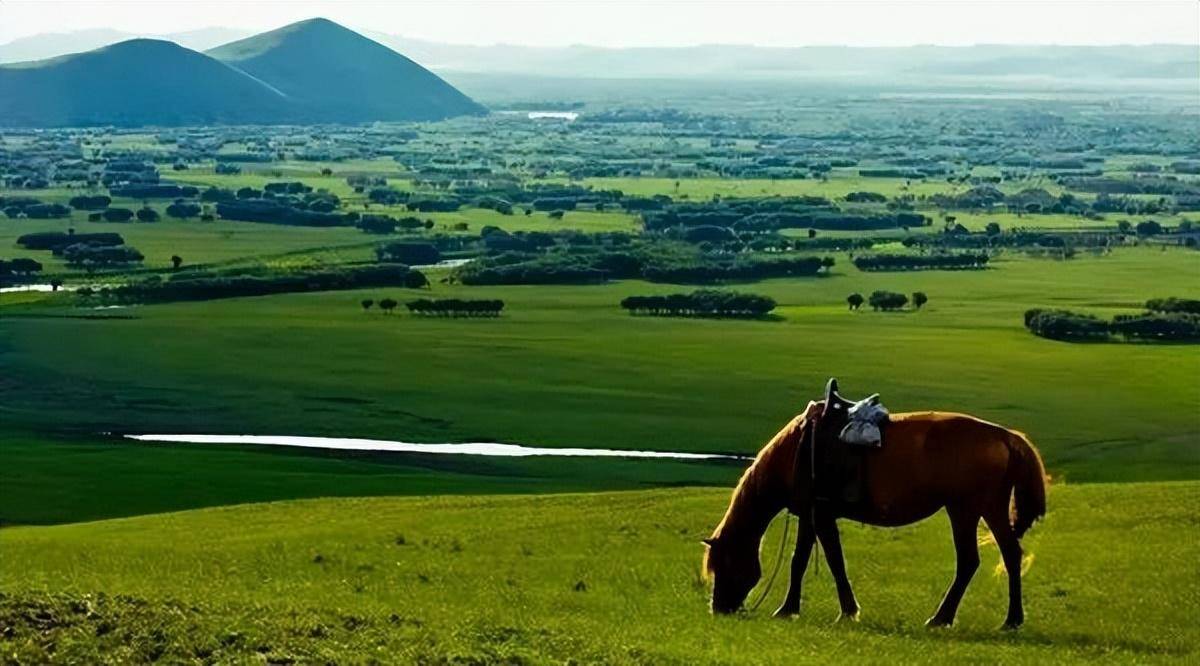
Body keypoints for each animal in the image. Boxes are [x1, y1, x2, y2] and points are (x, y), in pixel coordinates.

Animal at [700, 381, 1046, 628]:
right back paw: (983, 618)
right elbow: (812, 560)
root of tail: (1004, 436)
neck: (797, 450)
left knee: (987, 559)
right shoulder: (814, 516)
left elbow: (821, 561)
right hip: (975, 510)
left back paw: (970, 619)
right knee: (992, 558)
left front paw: (827, 611)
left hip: (970, 510)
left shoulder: (818, 514)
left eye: (724, 563)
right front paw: (804, 609)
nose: (719, 609)